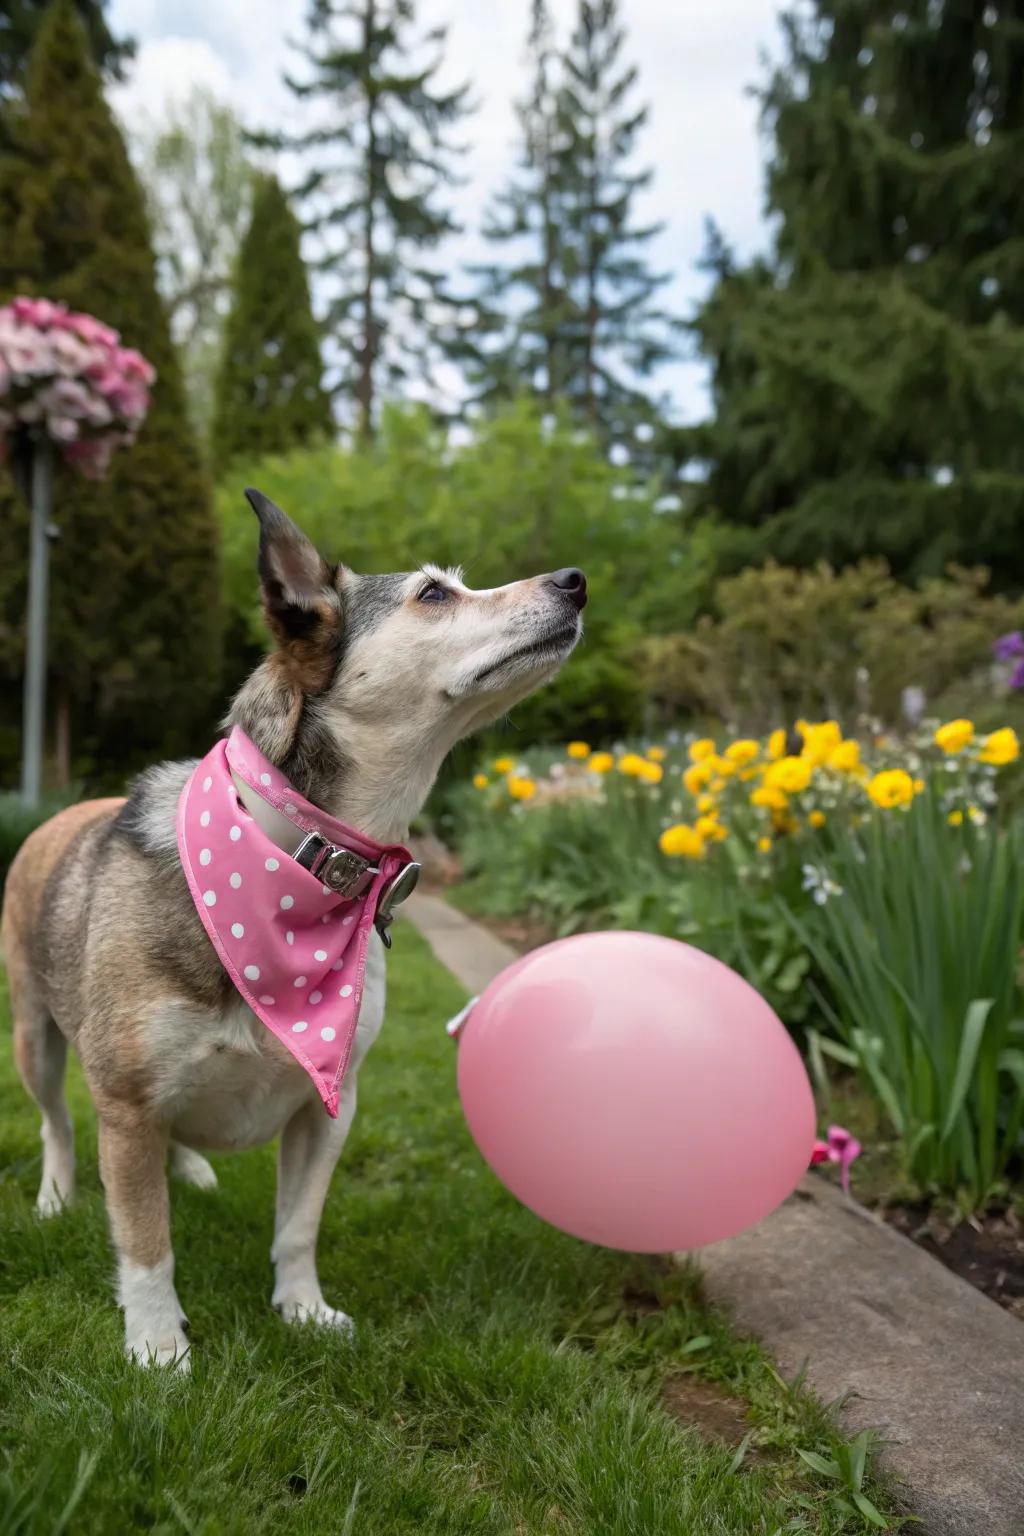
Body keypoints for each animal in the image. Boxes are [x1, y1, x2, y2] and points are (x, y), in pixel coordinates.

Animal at [2, 491, 583, 1370]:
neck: (298, 860)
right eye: (433, 594)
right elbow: (145, 1240)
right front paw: (157, 1344)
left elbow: (297, 1227)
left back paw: (190, 1170)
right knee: (57, 1123)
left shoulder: (327, 1107)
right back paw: (55, 1194)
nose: (576, 581)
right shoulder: (129, 1104)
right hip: (36, 1039)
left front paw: (302, 1308)